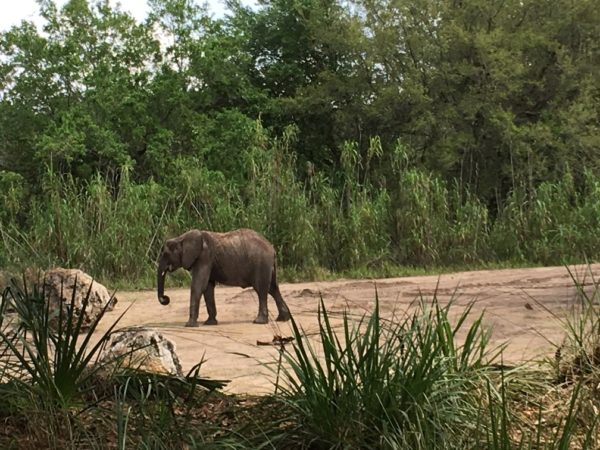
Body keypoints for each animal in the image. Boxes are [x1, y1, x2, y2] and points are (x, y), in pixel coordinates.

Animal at [157, 229, 292, 326]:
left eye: (165, 254)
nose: (166, 299)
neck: (181, 238)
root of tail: (272, 248)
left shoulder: (204, 257)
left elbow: (198, 285)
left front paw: (190, 325)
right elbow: (208, 288)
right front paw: (209, 323)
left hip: (261, 263)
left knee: (262, 289)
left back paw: (259, 322)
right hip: (267, 265)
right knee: (273, 288)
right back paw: (283, 319)